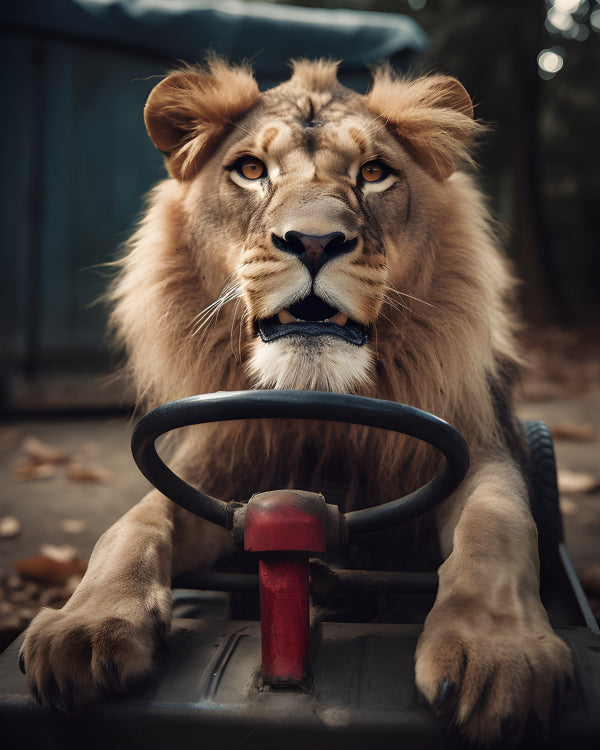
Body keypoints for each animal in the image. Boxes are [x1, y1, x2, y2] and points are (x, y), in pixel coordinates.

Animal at [19, 58, 572, 745]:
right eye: (251, 169)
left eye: (373, 172)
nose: (313, 242)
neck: (319, 408)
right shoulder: (210, 468)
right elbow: (133, 523)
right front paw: (83, 624)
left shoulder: (479, 446)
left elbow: (497, 521)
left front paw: (497, 649)